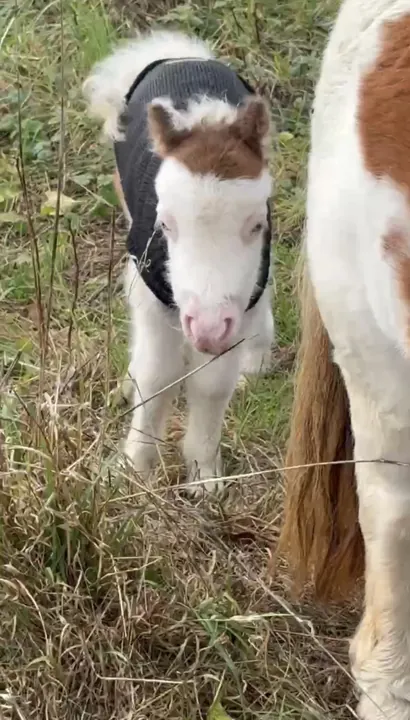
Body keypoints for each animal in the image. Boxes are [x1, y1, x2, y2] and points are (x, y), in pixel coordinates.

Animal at [83, 30, 274, 494]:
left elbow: (212, 385)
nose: (206, 327)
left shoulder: (243, 296)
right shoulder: (152, 288)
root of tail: (176, 54)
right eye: (165, 224)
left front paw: (204, 477)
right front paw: (134, 469)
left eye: (257, 224)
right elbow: (156, 376)